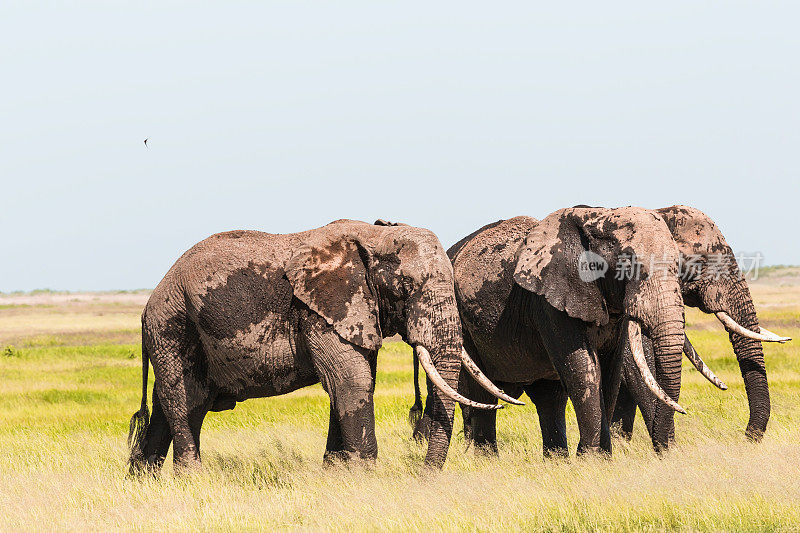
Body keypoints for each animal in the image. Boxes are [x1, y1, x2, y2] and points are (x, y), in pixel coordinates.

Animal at [126, 218, 512, 472]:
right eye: (405, 287)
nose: (422, 474)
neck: (374, 235)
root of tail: (150, 301)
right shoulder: (318, 308)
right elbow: (351, 381)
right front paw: (365, 475)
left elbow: (355, 381)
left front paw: (335, 471)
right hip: (172, 326)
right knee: (184, 401)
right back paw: (191, 477)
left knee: (170, 406)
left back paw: (142, 479)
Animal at [412, 206, 688, 456]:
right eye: (628, 265)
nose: (666, 453)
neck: (598, 215)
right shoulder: (550, 304)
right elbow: (584, 370)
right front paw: (591, 460)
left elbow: (610, 371)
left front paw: (601, 458)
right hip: (462, 324)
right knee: (484, 392)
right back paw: (487, 460)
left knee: (549, 398)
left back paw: (556, 459)